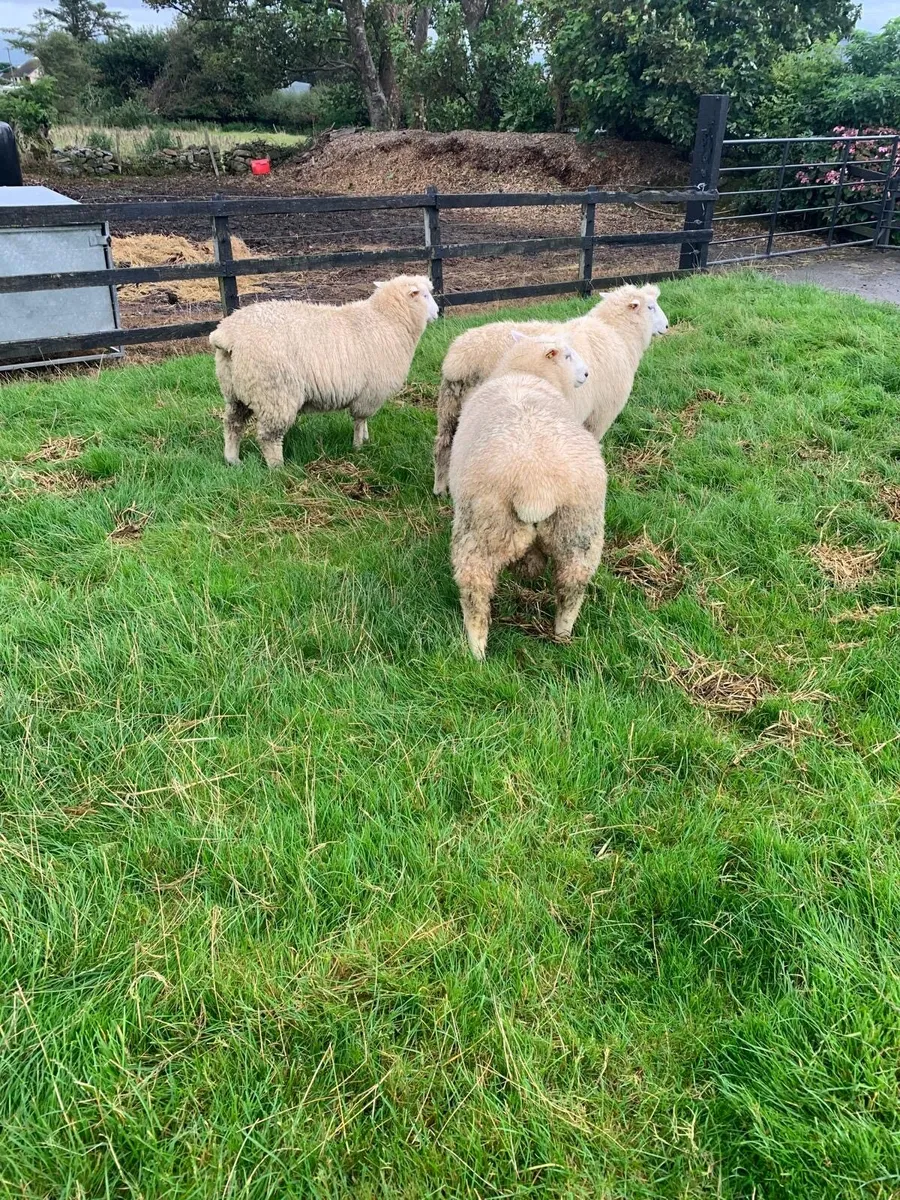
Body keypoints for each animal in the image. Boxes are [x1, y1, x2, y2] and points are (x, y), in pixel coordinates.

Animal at [210, 275, 439, 469]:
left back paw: (233, 460)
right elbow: (359, 420)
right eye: (425, 295)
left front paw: (365, 439)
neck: (387, 320)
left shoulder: (367, 394)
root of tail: (227, 335)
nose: (437, 313)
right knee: (269, 436)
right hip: (273, 393)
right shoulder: (370, 393)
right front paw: (358, 447)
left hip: (235, 391)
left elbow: (363, 421)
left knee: (232, 424)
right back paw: (278, 468)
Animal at [433, 283, 668, 495]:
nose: (667, 326)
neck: (617, 333)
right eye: (651, 307)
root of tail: (461, 360)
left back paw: (440, 489)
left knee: (443, 446)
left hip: (449, 409)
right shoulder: (602, 412)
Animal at [449, 331, 606, 660]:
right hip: (578, 531)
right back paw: (561, 635)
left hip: (482, 528)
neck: (525, 373)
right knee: (572, 589)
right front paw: (529, 572)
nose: (587, 374)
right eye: (568, 355)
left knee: (475, 591)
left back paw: (476, 652)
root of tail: (537, 486)